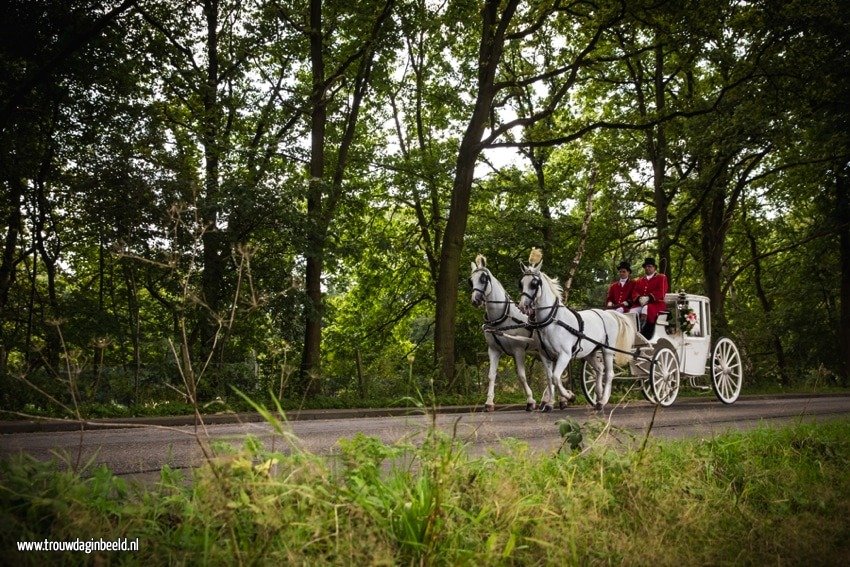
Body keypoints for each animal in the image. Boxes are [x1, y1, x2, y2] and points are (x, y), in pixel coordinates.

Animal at [464, 255, 536, 410]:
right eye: (471, 280)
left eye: (483, 279)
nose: (475, 300)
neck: (502, 318)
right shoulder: (494, 350)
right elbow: (491, 375)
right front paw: (489, 402)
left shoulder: (518, 350)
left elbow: (521, 375)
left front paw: (530, 400)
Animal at [512, 251, 632, 410]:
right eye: (521, 283)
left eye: (534, 284)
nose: (523, 306)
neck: (553, 321)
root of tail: (608, 313)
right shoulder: (545, 355)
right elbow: (550, 379)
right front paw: (549, 404)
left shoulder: (565, 355)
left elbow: (556, 378)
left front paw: (569, 396)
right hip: (589, 352)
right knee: (599, 370)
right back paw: (598, 396)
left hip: (607, 350)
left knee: (609, 373)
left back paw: (602, 401)